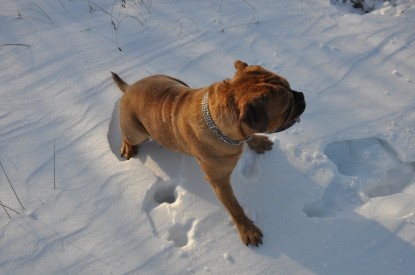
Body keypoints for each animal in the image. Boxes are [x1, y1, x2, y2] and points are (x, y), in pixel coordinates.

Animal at [112, 61, 308, 248]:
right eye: (287, 107)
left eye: (290, 86)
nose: (301, 95)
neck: (220, 127)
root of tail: (129, 88)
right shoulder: (219, 181)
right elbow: (235, 207)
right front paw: (247, 229)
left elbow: (250, 135)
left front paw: (257, 142)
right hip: (137, 132)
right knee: (127, 136)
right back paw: (127, 147)